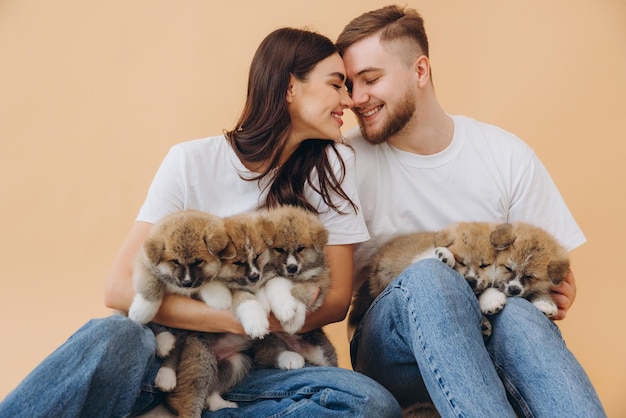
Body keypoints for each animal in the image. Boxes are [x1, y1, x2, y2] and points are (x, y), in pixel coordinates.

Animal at [251, 206, 336, 370]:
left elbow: (299, 292)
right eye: (279, 249)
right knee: (271, 353)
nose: (292, 267)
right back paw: (290, 358)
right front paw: (285, 309)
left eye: (300, 248)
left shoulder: (318, 280)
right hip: (269, 340)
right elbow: (275, 283)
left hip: (323, 349)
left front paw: (293, 319)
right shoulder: (263, 279)